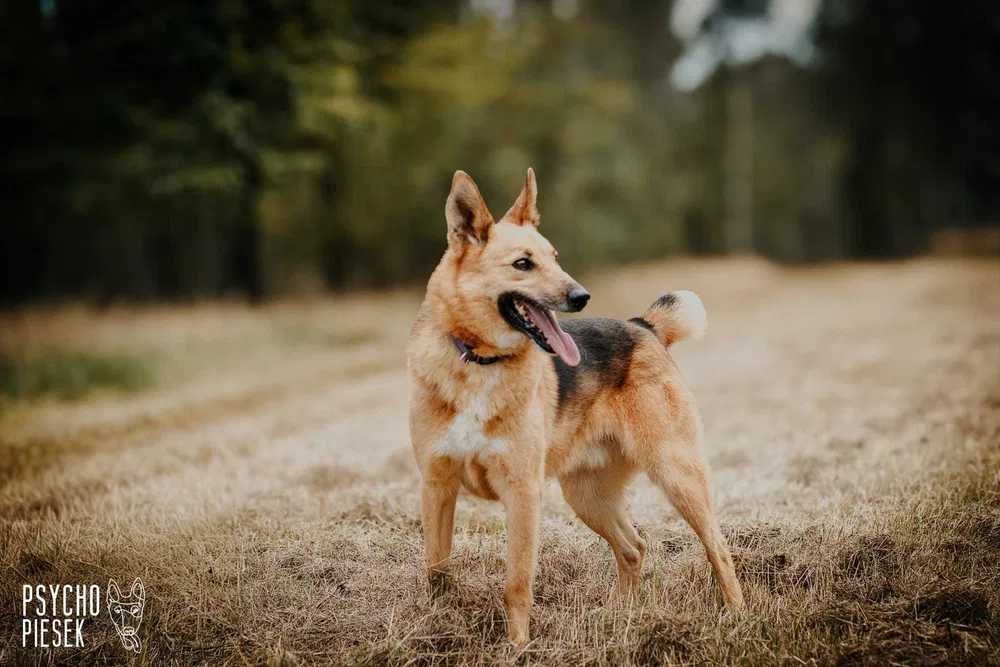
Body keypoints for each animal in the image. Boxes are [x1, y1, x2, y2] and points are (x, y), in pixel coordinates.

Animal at [406, 168, 743, 645]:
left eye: (555, 257)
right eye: (523, 264)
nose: (582, 296)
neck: (479, 362)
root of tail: (643, 326)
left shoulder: (522, 494)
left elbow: (516, 583)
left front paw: (518, 648)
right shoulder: (437, 487)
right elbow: (436, 569)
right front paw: (435, 625)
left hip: (677, 474)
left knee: (718, 548)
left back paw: (738, 615)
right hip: (587, 494)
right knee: (634, 548)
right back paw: (618, 617)